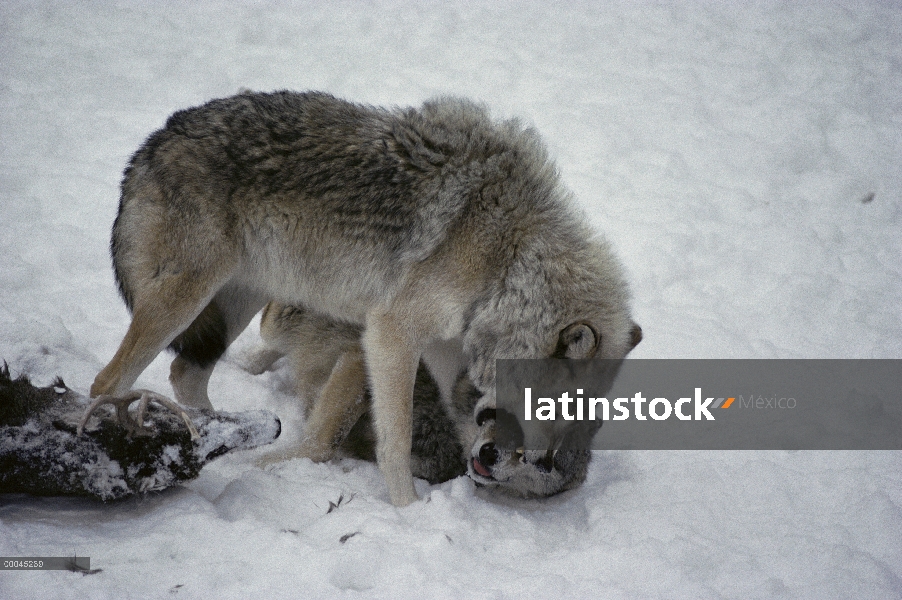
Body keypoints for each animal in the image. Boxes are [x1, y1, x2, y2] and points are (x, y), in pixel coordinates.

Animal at [90, 91, 644, 506]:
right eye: (555, 409)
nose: (544, 460)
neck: (508, 258)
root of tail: (156, 139)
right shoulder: (390, 334)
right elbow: (393, 442)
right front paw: (409, 511)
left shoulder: (440, 349)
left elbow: (455, 415)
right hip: (192, 299)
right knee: (109, 382)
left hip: (244, 295)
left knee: (186, 371)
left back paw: (227, 436)